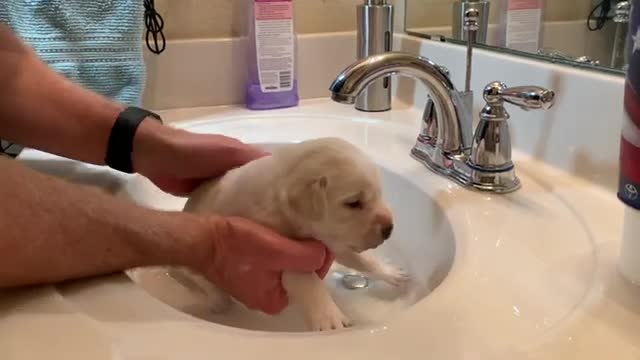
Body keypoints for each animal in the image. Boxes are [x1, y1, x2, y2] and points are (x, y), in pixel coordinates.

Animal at [168, 137, 408, 332]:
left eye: (379, 194)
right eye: (354, 203)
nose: (389, 229)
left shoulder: (333, 239)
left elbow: (362, 259)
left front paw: (392, 273)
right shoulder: (281, 254)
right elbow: (308, 281)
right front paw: (330, 317)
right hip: (190, 268)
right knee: (201, 281)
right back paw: (219, 302)